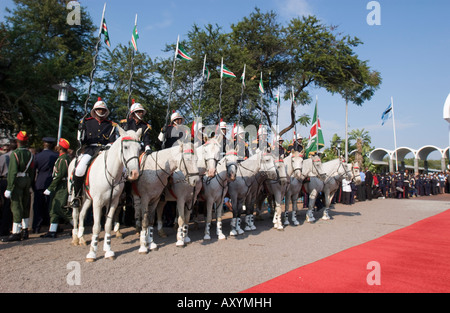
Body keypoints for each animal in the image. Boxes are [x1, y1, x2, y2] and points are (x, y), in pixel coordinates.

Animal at [67, 127, 142, 260]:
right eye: (126, 147)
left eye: (139, 149)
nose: (134, 174)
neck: (112, 174)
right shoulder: (98, 202)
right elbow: (96, 227)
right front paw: (92, 253)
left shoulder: (113, 202)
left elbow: (107, 224)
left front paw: (108, 250)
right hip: (77, 195)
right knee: (75, 214)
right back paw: (75, 238)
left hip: (88, 199)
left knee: (81, 214)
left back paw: (81, 238)